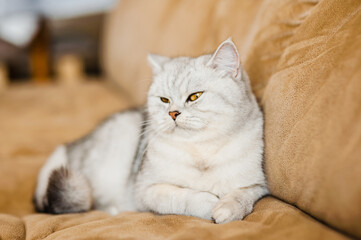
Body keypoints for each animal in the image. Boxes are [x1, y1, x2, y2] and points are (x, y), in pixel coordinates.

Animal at [33, 38, 268, 224]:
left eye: (195, 96)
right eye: (164, 100)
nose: (173, 113)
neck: (201, 152)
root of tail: (69, 147)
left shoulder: (258, 186)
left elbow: (240, 196)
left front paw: (226, 208)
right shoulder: (147, 190)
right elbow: (183, 197)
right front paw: (210, 202)